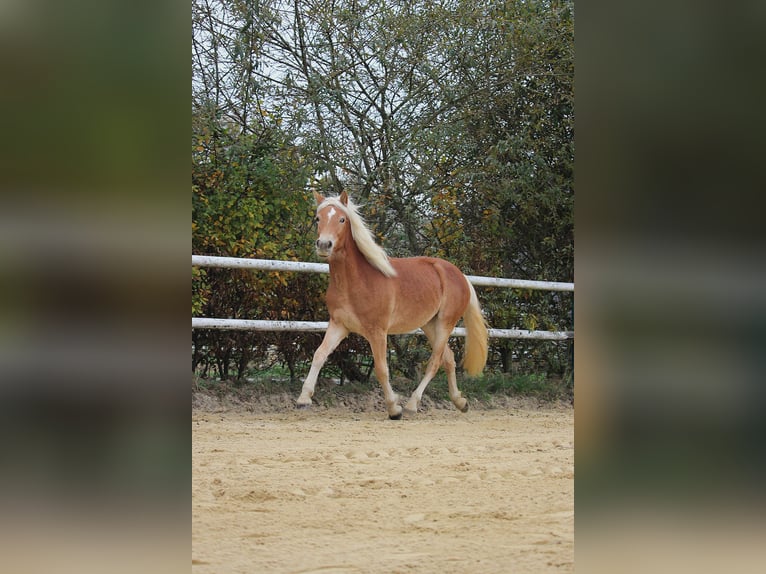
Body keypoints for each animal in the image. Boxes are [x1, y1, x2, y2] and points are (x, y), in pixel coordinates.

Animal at [296, 191, 488, 420]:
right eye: (318, 218)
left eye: (342, 219)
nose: (324, 245)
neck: (356, 281)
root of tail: (460, 275)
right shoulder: (339, 325)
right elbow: (319, 355)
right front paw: (303, 399)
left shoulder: (377, 331)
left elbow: (381, 369)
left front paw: (394, 409)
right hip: (429, 324)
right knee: (448, 359)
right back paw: (460, 402)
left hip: (445, 323)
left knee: (435, 362)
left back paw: (412, 405)